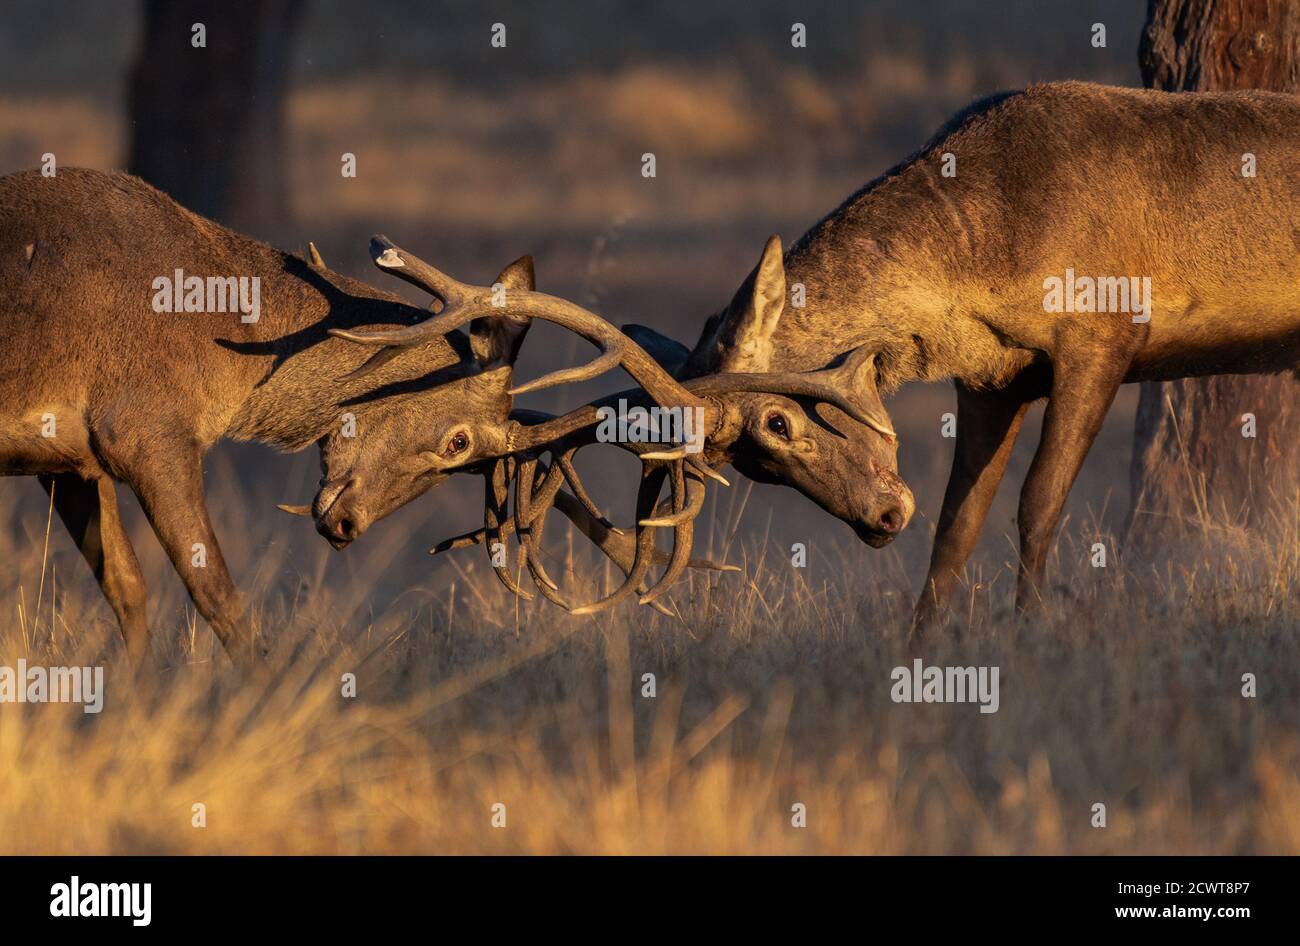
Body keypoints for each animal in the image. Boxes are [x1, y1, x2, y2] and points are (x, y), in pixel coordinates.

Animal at [626, 81, 1300, 628]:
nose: (881, 519)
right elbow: (957, 525)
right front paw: (920, 645)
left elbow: (1039, 502)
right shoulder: (994, 380)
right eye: (750, 469)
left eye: (777, 420)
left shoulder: (1105, 330)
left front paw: (1031, 630)